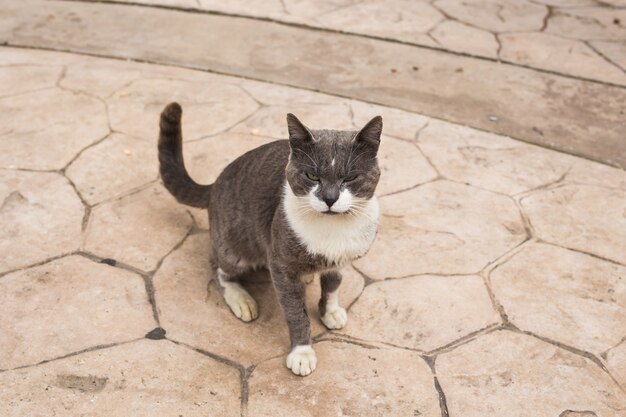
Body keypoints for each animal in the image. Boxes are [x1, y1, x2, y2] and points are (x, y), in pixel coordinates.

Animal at [157, 102, 380, 376]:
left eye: (350, 178)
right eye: (312, 176)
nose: (329, 198)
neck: (332, 227)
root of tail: (215, 184)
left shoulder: (341, 260)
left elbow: (333, 285)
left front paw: (330, 311)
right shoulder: (282, 266)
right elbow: (296, 313)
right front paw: (301, 353)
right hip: (235, 248)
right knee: (218, 267)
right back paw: (241, 299)